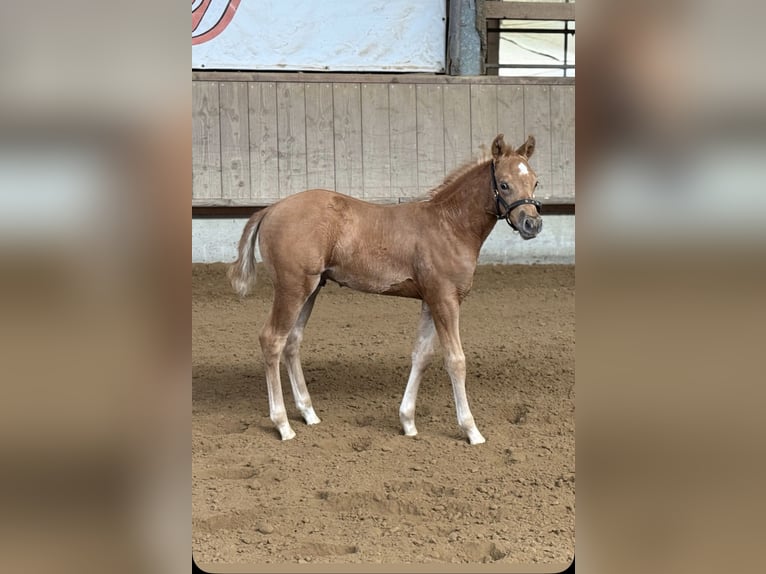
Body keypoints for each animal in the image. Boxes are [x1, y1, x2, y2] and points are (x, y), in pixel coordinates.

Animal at [228, 133, 542, 445]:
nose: (533, 224)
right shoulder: (446, 300)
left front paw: (408, 422)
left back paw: (308, 413)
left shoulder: (430, 300)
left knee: (292, 342)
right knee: (272, 340)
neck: (449, 225)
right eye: (504, 184)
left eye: (535, 181)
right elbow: (455, 360)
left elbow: (421, 355)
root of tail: (270, 209)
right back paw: (283, 425)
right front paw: (471, 430)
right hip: (292, 288)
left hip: (311, 289)